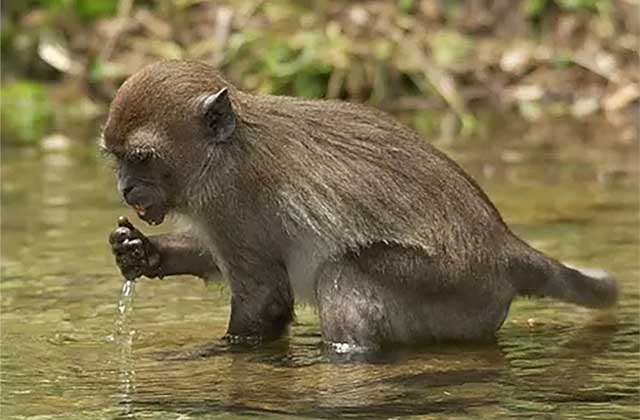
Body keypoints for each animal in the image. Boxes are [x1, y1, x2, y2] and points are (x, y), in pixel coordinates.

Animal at [102, 59, 616, 352]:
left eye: (142, 158)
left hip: (456, 289)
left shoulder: (231, 202)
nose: (126, 188)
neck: (225, 149)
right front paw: (142, 252)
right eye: (116, 158)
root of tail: (503, 246)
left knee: (344, 273)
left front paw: (224, 351)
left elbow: (266, 298)